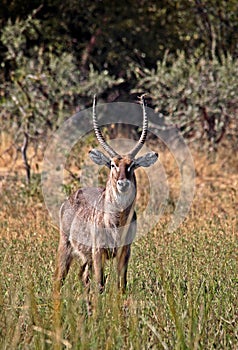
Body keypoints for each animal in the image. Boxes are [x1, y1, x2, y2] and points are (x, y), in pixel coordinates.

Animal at [54, 96, 158, 298]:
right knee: (59, 279)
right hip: (66, 247)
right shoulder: (98, 251)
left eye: (132, 165)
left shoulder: (125, 251)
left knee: (83, 277)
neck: (116, 221)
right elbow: (100, 284)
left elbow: (121, 285)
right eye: (112, 164)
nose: (122, 183)